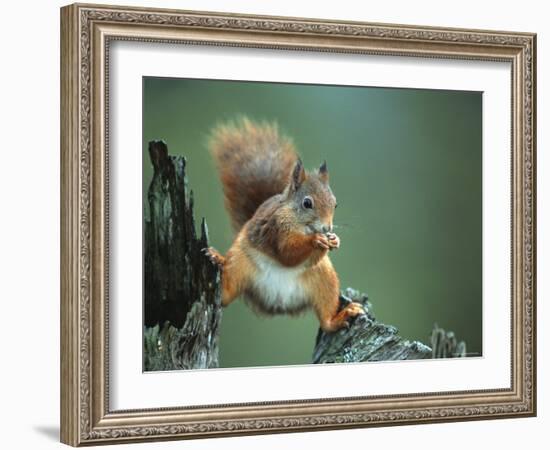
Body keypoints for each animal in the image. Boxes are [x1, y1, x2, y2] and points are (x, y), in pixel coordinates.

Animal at [205, 118, 364, 332]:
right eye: (307, 203)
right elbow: (287, 253)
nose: (327, 229)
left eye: (335, 204)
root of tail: (278, 303)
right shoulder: (276, 228)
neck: (300, 223)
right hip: (238, 264)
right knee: (225, 295)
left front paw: (334, 240)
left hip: (325, 279)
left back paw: (342, 316)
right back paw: (216, 258)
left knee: (326, 320)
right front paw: (316, 240)